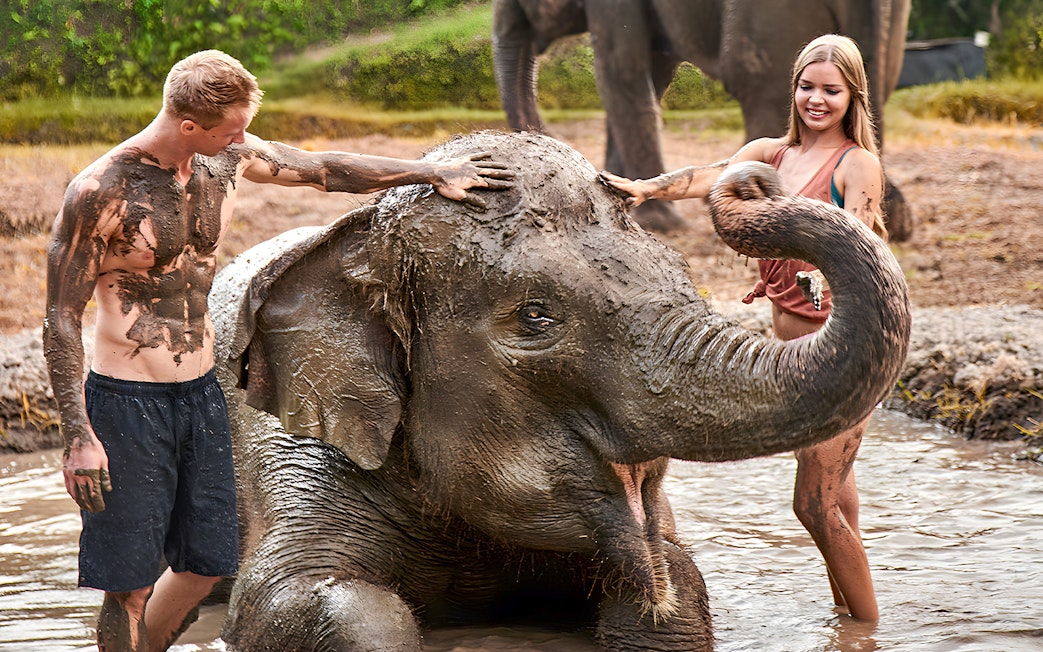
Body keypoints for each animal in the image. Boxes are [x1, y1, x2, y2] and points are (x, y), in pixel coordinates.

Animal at [209, 131, 910, 651]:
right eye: (535, 316)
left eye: (679, 272)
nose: (752, 180)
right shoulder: (291, 450)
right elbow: (299, 601)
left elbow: (678, 582)